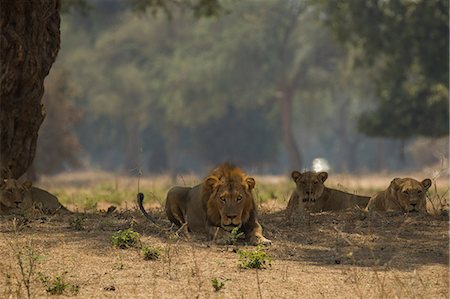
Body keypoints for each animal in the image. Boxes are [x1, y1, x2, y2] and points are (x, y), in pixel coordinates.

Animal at [137, 164, 270, 246]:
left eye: (239, 198)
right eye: (222, 199)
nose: (231, 217)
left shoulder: (252, 221)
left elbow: (257, 230)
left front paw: (263, 240)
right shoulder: (208, 224)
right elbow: (218, 230)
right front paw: (226, 238)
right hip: (173, 190)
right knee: (181, 226)